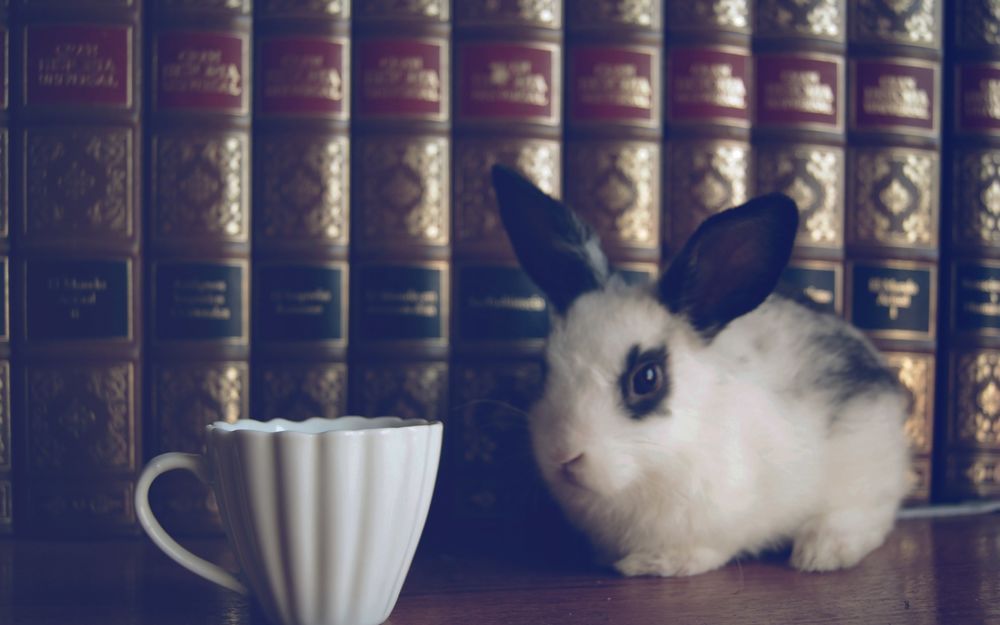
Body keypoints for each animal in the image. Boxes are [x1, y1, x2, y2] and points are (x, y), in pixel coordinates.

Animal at [490, 164, 911, 577]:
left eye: (646, 379)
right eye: (545, 366)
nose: (564, 456)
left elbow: (709, 549)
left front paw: (654, 563)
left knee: (872, 515)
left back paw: (821, 552)